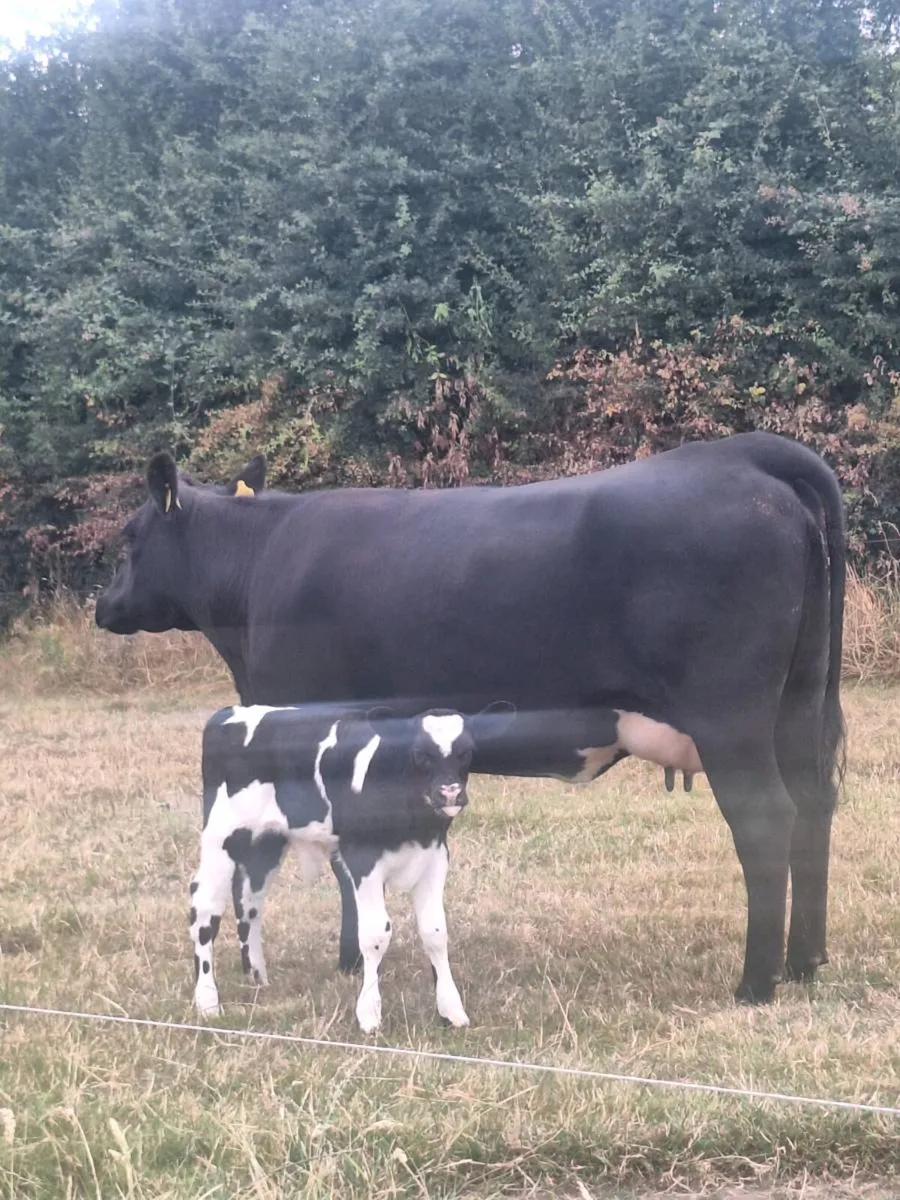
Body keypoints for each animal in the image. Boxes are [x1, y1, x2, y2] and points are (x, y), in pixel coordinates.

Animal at [191, 703, 512, 1031]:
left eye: (467, 752)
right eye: (420, 753)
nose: (449, 793)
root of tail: (230, 712)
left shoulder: (434, 855)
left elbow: (435, 931)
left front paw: (451, 1009)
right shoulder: (363, 859)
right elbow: (375, 934)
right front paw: (369, 1013)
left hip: (266, 843)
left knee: (249, 902)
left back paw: (257, 978)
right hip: (220, 837)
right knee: (204, 909)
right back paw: (207, 1002)